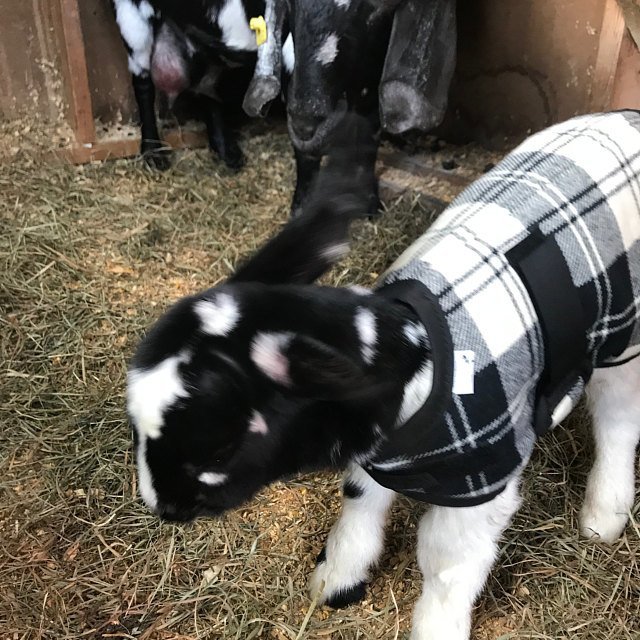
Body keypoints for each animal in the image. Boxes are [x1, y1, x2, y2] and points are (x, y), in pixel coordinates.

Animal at [127, 110, 640, 639]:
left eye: (221, 448)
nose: (161, 507)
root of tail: (625, 117)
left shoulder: (482, 487)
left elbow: (446, 561)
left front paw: (437, 628)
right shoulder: (372, 455)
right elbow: (360, 502)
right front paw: (337, 578)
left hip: (623, 337)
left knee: (618, 419)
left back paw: (603, 515)